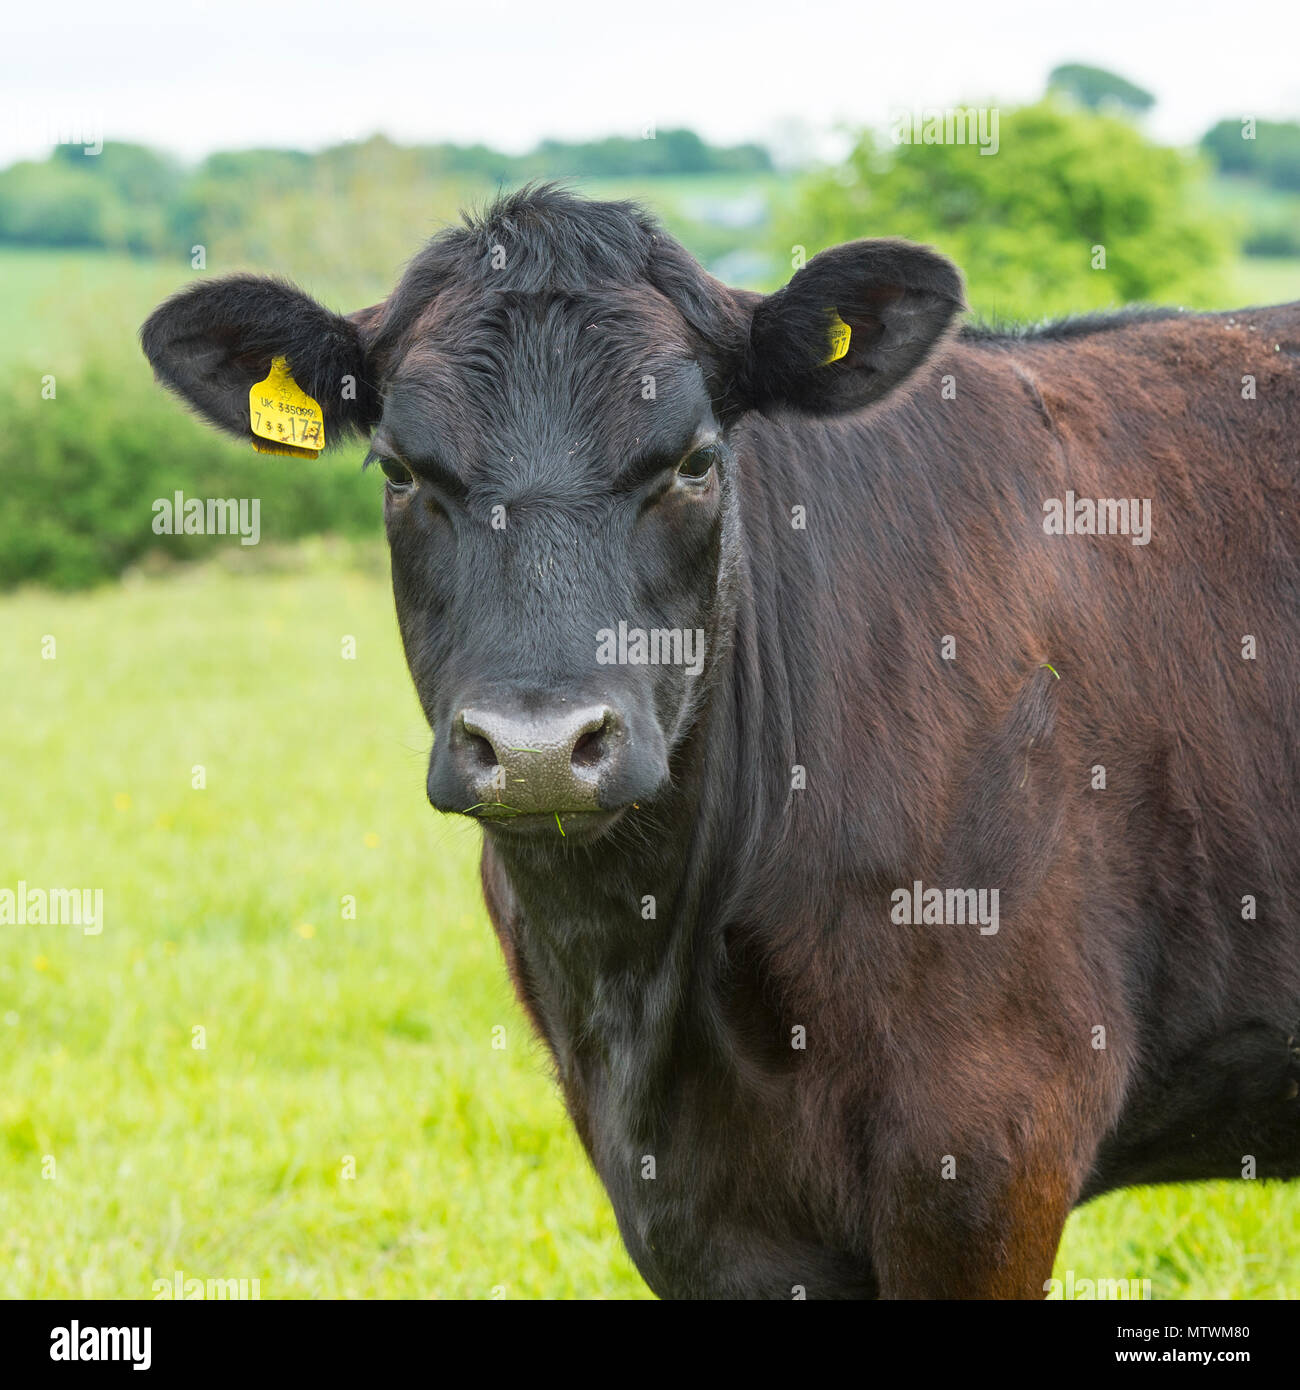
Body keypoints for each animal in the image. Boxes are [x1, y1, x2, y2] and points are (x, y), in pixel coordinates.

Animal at [141, 184, 1300, 1299]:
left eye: (696, 461)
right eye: (397, 472)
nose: (537, 746)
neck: (648, 978)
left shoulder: (989, 1141)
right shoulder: (693, 1211)